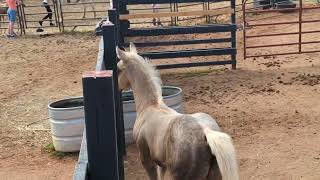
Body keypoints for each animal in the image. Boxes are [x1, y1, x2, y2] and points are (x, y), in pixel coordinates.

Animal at [116, 44, 239, 180]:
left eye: (118, 69)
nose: (117, 86)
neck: (149, 107)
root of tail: (206, 132)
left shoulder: (147, 160)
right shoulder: (161, 164)